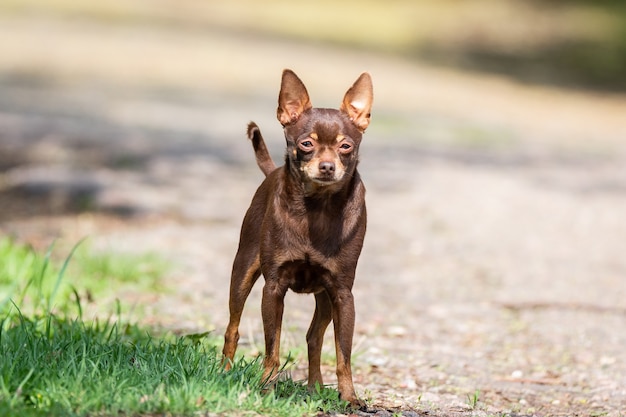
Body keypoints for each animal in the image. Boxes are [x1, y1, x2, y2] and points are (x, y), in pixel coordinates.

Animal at [223, 68, 372, 406]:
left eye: (346, 147)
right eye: (306, 144)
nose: (327, 166)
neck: (317, 208)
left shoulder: (343, 294)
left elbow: (344, 355)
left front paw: (349, 397)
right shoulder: (273, 288)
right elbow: (272, 348)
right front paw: (266, 388)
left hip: (325, 297)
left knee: (314, 336)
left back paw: (315, 387)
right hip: (242, 272)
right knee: (232, 328)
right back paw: (222, 372)